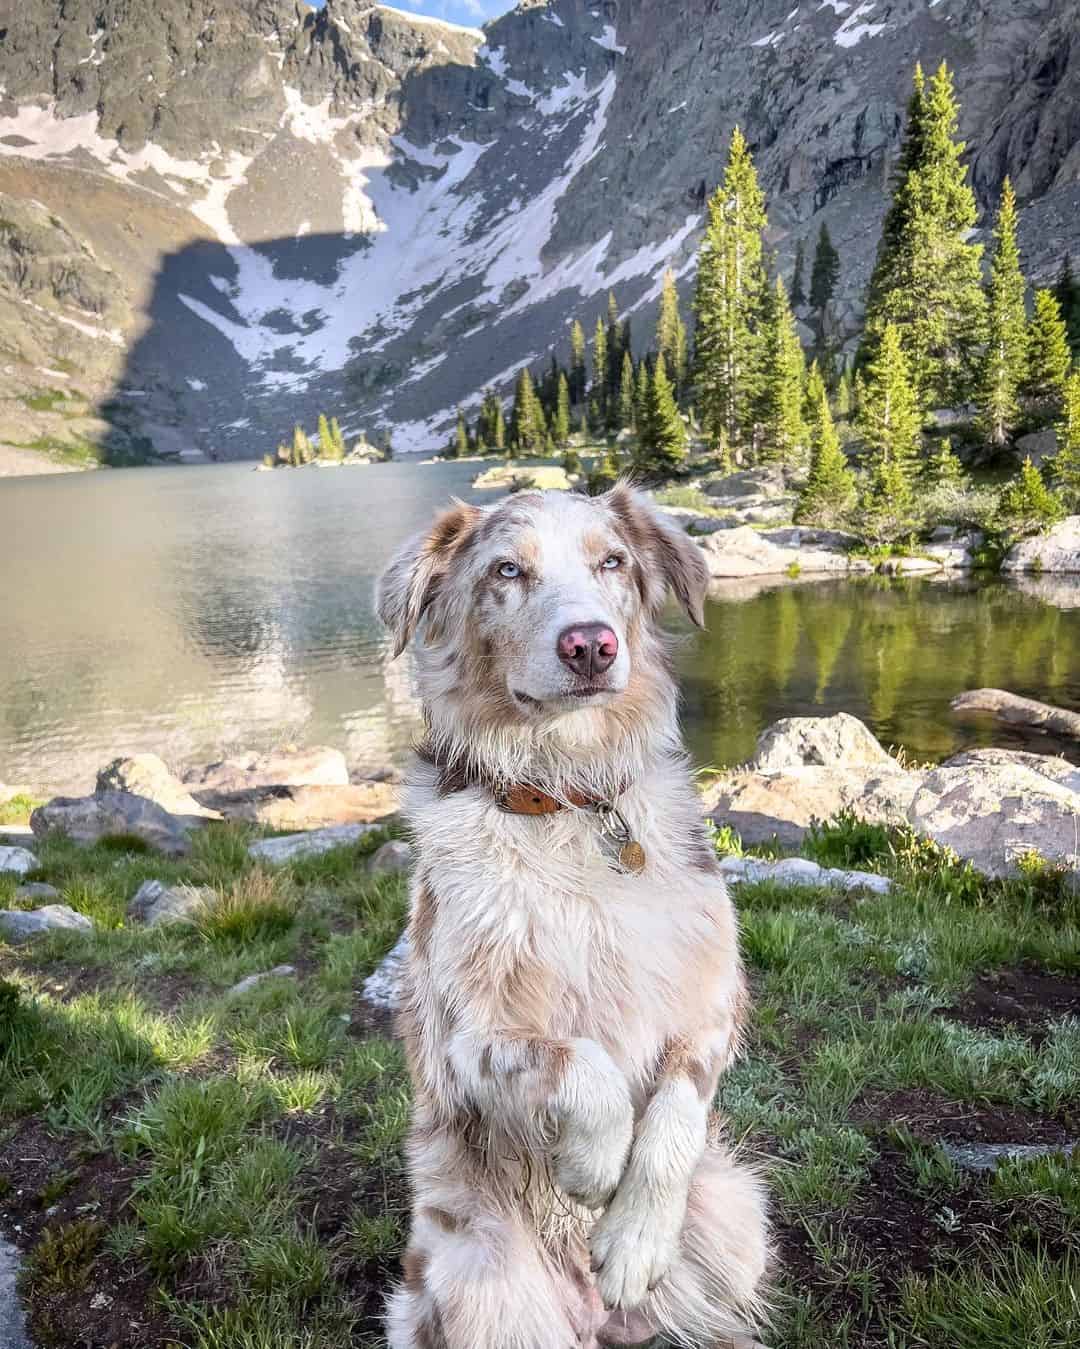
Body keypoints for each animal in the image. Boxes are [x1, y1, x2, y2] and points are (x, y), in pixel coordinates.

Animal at [377, 488, 765, 1349]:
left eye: (612, 561)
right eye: (506, 571)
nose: (591, 643)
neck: (566, 799)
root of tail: (601, 1324)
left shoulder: (714, 1002)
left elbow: (676, 1104)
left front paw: (632, 1236)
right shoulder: (463, 1039)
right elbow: (577, 1063)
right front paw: (593, 1166)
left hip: (740, 1215)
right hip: (480, 1281)